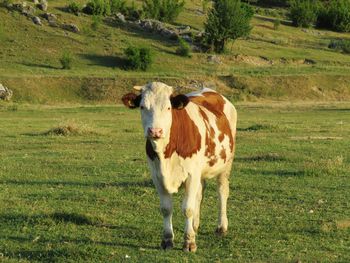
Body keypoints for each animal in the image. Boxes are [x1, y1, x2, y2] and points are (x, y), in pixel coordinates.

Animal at [121, 81, 238, 253]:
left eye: (168, 108)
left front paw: (189, 242)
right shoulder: (157, 176)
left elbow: (187, 209)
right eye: (142, 106)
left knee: (222, 191)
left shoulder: (191, 175)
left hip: (225, 164)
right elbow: (166, 209)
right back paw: (195, 226)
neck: (166, 155)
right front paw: (168, 240)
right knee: (199, 194)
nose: (155, 131)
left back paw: (221, 227)